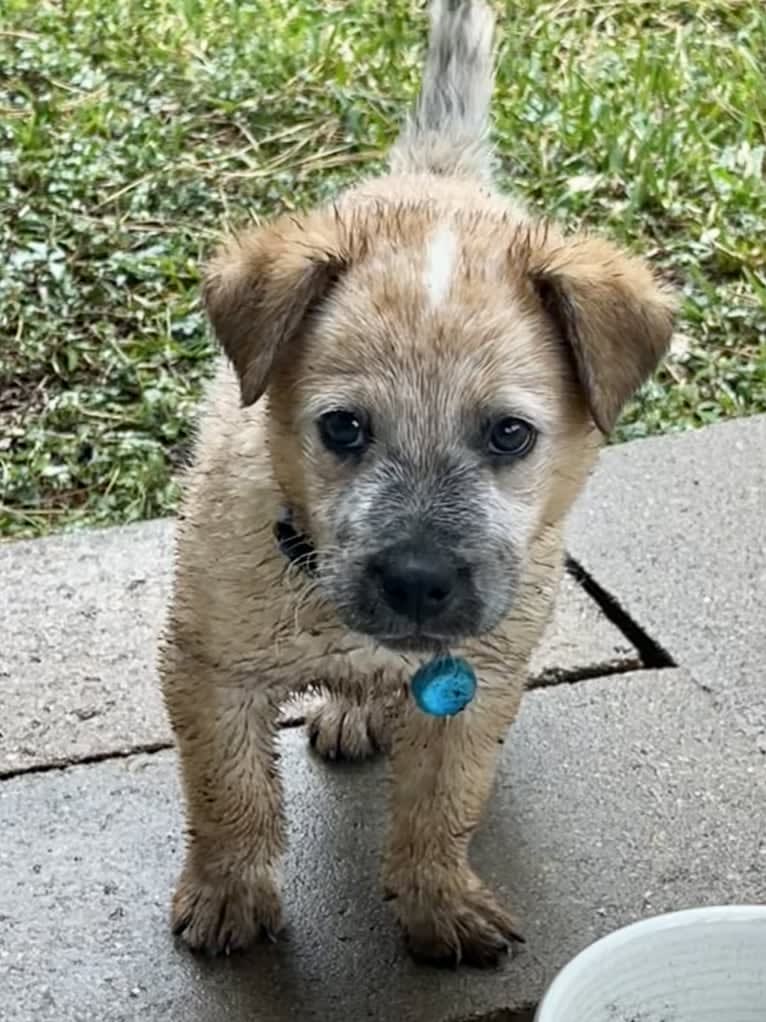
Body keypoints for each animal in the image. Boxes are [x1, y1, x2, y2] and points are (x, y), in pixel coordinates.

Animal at [159, 0, 674, 964]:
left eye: (510, 434)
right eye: (342, 428)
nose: (417, 582)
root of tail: (436, 175)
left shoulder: (477, 687)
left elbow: (443, 803)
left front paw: (437, 901)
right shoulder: (210, 669)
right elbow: (228, 793)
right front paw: (229, 895)